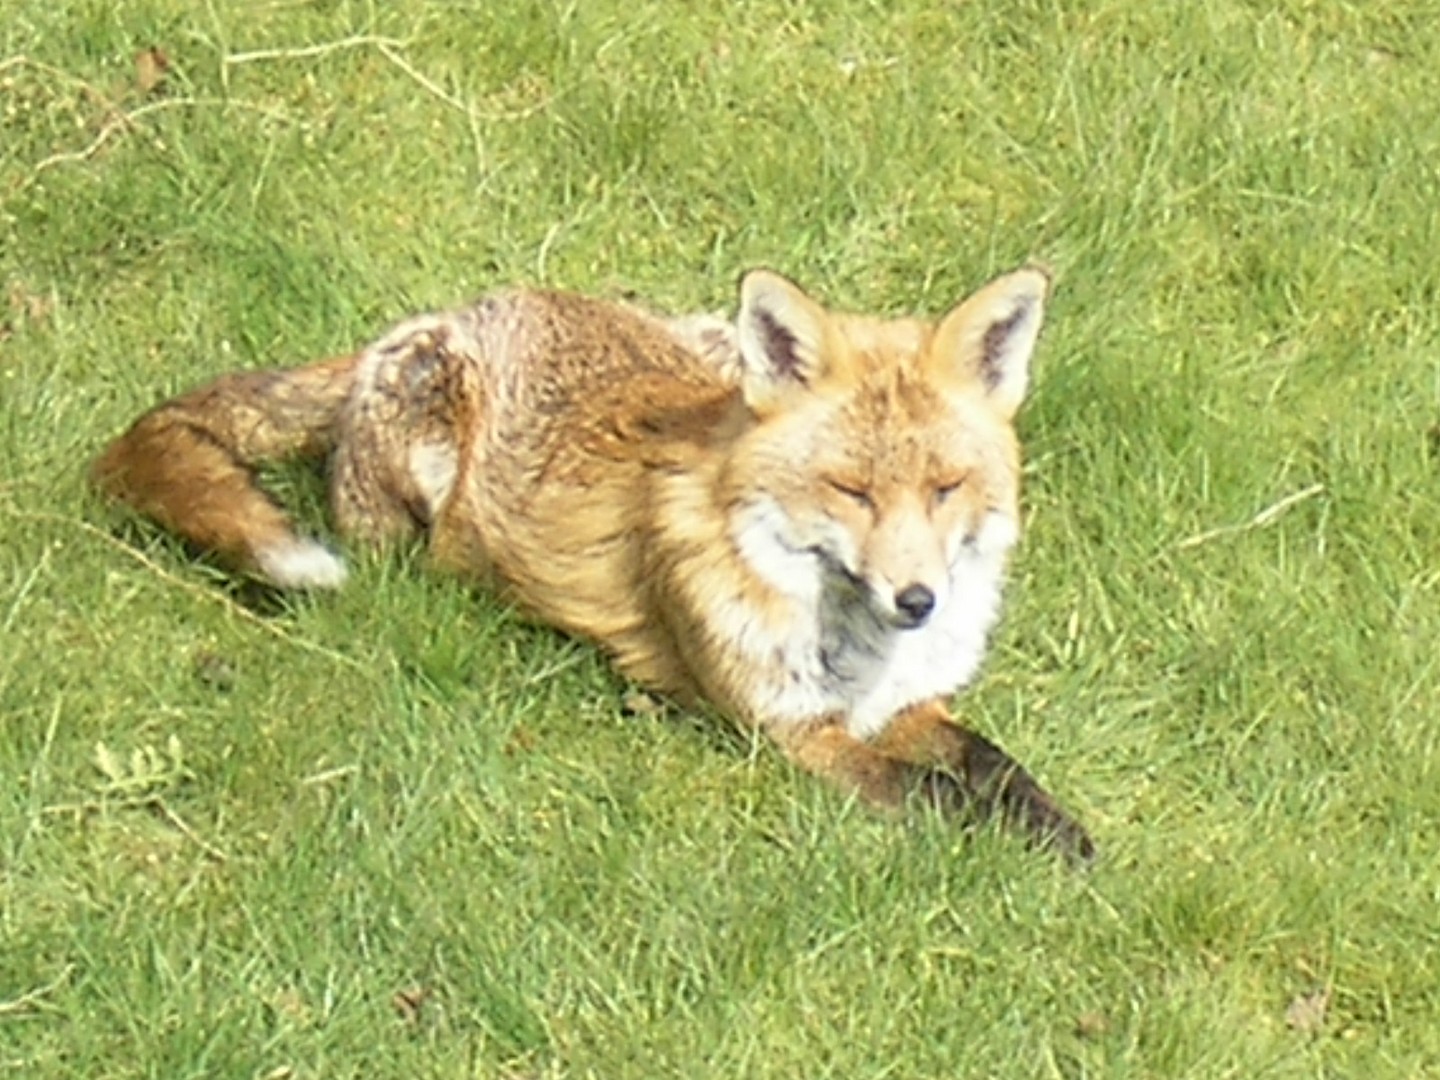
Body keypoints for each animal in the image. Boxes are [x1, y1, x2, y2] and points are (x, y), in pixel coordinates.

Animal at [92, 266, 1094, 862]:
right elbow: (935, 795)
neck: (862, 654)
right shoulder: (792, 736)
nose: (917, 600)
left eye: (946, 486)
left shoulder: (916, 705)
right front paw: (1019, 854)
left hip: (712, 343)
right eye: (850, 491)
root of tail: (452, 308)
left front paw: (1061, 830)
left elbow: (996, 768)